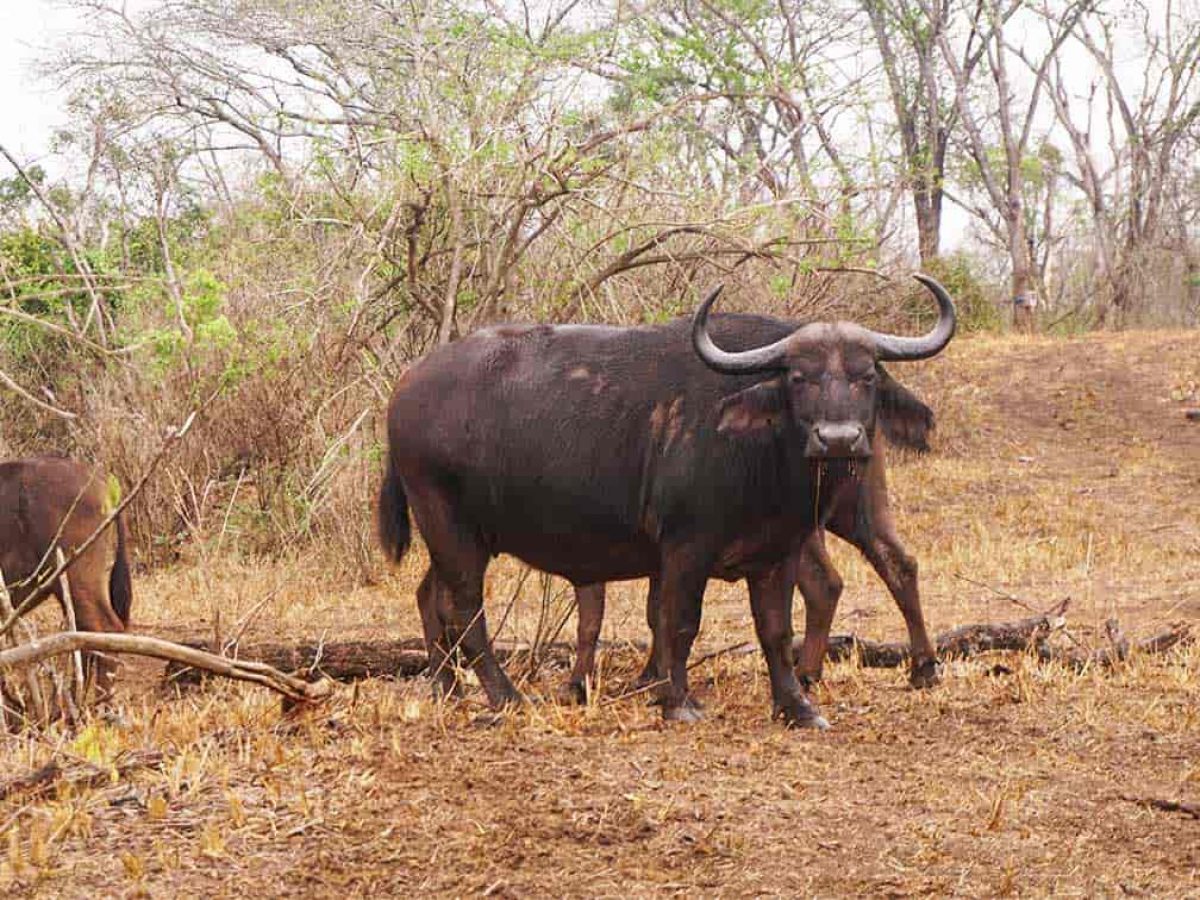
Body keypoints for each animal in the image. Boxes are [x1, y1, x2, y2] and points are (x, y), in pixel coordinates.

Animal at [379, 278, 950, 729]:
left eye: (866, 376)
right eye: (798, 377)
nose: (838, 439)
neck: (759, 450)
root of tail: (405, 386)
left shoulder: (779, 550)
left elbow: (774, 628)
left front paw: (796, 706)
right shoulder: (684, 548)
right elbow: (677, 621)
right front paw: (676, 700)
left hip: (454, 537)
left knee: (431, 596)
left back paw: (447, 688)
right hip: (448, 524)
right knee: (463, 608)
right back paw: (505, 696)